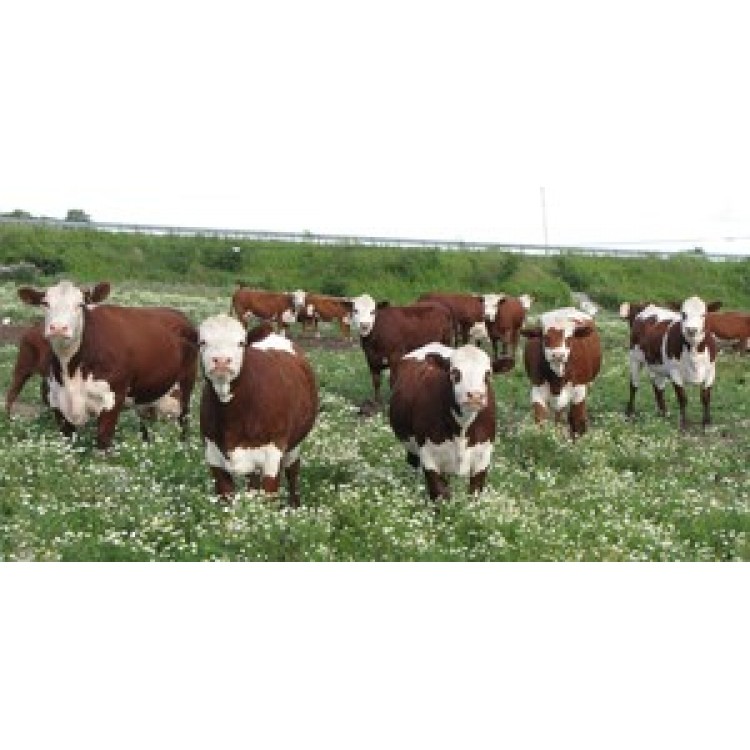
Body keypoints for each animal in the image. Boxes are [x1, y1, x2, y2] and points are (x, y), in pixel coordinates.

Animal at [17, 280, 198, 448]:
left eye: (81, 304)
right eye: (45, 303)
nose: (59, 328)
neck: (71, 371)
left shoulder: (112, 399)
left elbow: (103, 441)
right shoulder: (57, 403)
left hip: (186, 386)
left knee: (184, 421)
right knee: (145, 427)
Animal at [198, 315, 318, 504]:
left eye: (241, 343)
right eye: (202, 342)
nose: (222, 361)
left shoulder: (273, 454)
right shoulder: (213, 455)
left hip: (294, 445)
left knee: (293, 471)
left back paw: (294, 505)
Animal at [389, 343, 514, 501]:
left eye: (488, 374)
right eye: (455, 372)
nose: (475, 396)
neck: (462, 428)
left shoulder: (483, 456)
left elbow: (474, 495)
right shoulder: (429, 456)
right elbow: (440, 495)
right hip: (411, 448)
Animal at [521, 307, 601, 438]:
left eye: (569, 338)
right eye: (546, 338)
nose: (558, 355)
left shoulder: (579, 391)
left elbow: (577, 421)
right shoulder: (537, 389)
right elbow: (540, 420)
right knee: (558, 414)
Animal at [626, 297, 720, 430]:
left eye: (704, 314)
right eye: (683, 314)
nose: (691, 330)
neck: (694, 351)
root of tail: (650, 307)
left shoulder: (711, 371)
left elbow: (706, 398)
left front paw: (707, 424)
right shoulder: (675, 372)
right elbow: (682, 399)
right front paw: (684, 424)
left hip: (657, 365)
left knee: (658, 387)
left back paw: (664, 413)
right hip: (635, 358)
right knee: (634, 385)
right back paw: (630, 412)